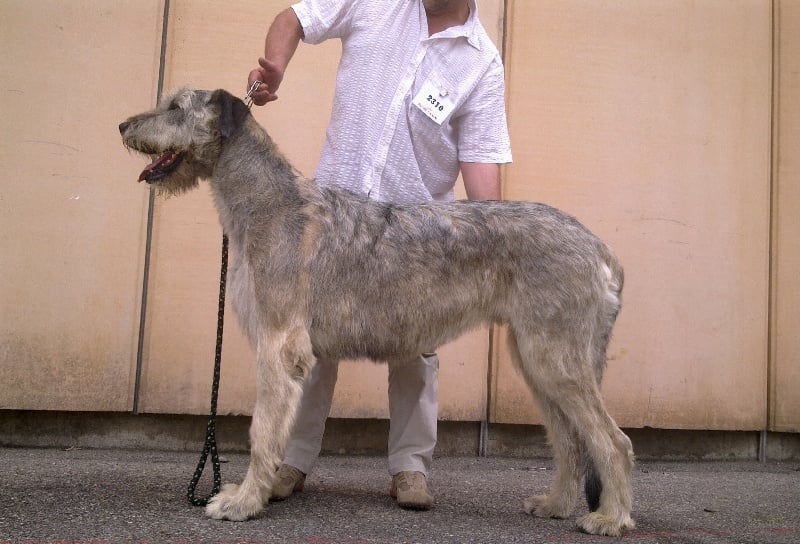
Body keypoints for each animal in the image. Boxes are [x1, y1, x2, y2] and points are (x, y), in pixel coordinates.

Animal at [119, 88, 635, 536]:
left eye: (175, 106)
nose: (123, 124)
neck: (267, 202)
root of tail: (600, 247)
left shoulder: (278, 344)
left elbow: (263, 430)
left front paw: (243, 502)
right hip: (535, 359)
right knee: (570, 440)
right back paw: (555, 505)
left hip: (556, 357)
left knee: (613, 441)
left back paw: (610, 518)